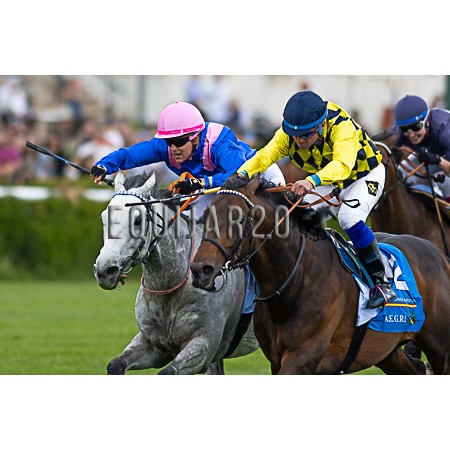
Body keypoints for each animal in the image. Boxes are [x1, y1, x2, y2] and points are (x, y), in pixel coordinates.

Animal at [93, 170, 259, 375]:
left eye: (137, 220)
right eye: (103, 218)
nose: (105, 270)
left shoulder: (203, 346)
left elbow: (167, 372)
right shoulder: (152, 344)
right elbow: (115, 364)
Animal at [190, 177, 450, 374]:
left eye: (240, 218)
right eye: (207, 215)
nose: (200, 269)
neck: (295, 280)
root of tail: (439, 255)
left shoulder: (303, 357)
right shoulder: (277, 360)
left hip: (439, 348)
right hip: (388, 351)